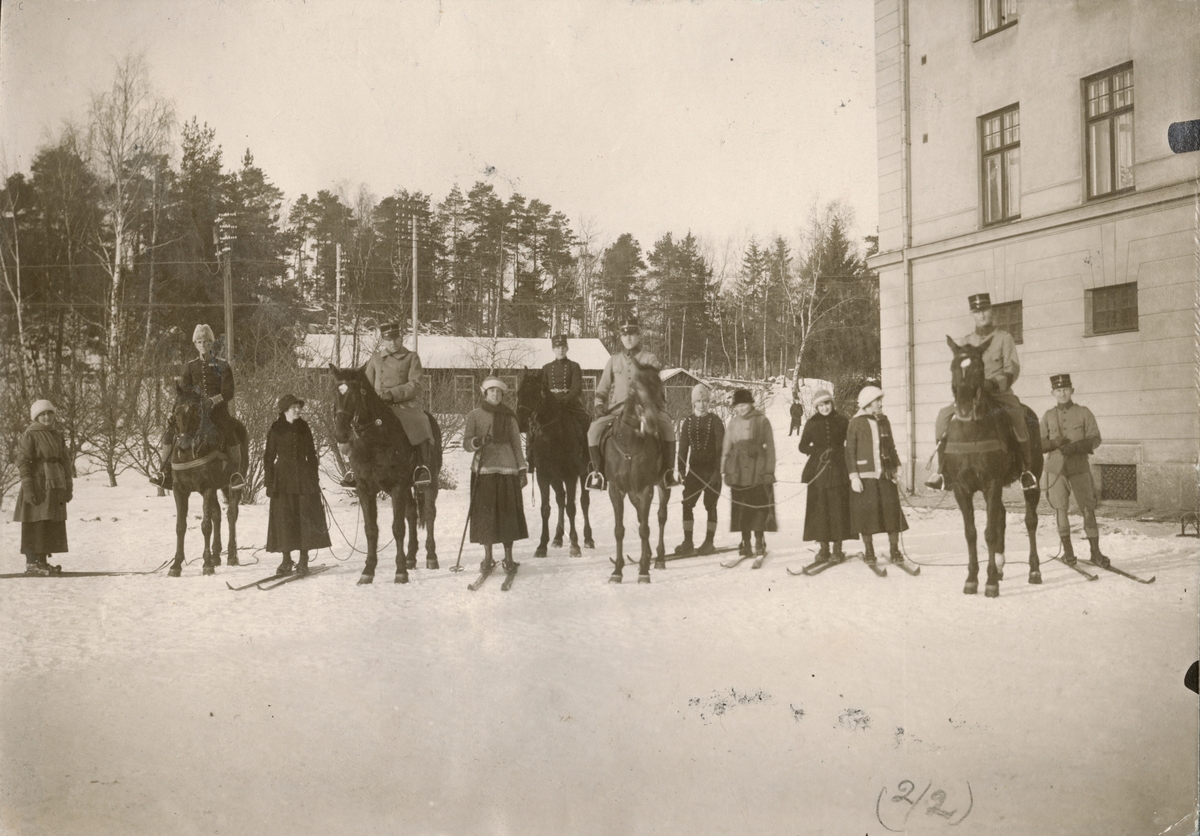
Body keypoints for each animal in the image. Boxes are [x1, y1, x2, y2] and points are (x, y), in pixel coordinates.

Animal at [166, 384, 246, 576]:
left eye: (197, 412)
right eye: (176, 411)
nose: (184, 445)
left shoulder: (207, 487)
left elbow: (205, 525)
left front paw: (207, 564)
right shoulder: (180, 490)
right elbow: (180, 526)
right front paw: (176, 565)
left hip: (232, 485)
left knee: (231, 514)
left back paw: (232, 555)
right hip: (219, 487)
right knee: (218, 515)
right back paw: (217, 555)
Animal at [330, 364, 441, 584]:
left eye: (355, 393)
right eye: (335, 393)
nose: (341, 434)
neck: (374, 440)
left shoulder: (396, 487)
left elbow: (397, 528)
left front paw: (400, 572)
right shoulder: (365, 489)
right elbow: (371, 530)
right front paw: (368, 571)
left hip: (430, 483)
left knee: (429, 514)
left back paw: (431, 557)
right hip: (407, 487)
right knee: (412, 514)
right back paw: (411, 557)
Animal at [516, 369, 594, 558]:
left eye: (534, 393)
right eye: (518, 393)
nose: (521, 422)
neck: (552, 436)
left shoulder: (571, 476)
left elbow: (572, 507)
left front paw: (575, 545)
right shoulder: (544, 476)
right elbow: (545, 508)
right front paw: (541, 546)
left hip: (583, 474)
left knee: (583, 502)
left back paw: (588, 538)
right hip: (555, 479)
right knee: (560, 499)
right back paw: (558, 537)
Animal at [602, 361, 672, 583]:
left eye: (659, 388)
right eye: (636, 389)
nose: (652, 423)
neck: (629, 444)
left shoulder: (646, 488)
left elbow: (644, 528)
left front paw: (643, 571)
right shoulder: (616, 490)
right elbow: (619, 530)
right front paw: (617, 570)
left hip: (662, 486)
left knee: (660, 517)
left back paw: (658, 558)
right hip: (632, 493)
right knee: (642, 516)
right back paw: (647, 556)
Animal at [943, 336, 1044, 597]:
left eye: (979, 369)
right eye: (953, 367)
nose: (964, 409)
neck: (971, 432)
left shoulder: (992, 483)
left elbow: (988, 532)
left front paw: (989, 582)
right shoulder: (961, 488)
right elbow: (971, 533)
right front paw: (972, 578)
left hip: (1031, 482)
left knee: (1030, 521)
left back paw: (1034, 570)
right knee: (1001, 516)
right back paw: (999, 566)